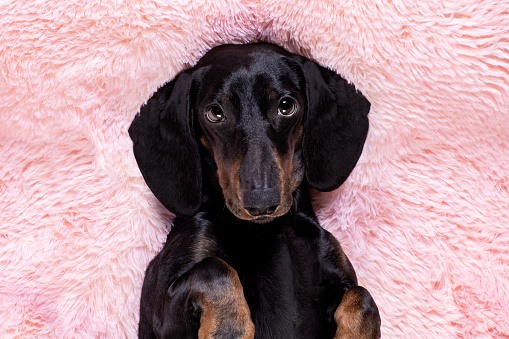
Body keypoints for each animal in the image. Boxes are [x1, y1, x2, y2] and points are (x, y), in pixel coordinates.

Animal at [129, 43, 380, 339]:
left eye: (286, 106)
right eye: (215, 113)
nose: (262, 203)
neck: (266, 230)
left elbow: (363, 298)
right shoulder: (161, 314)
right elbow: (216, 269)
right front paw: (229, 328)